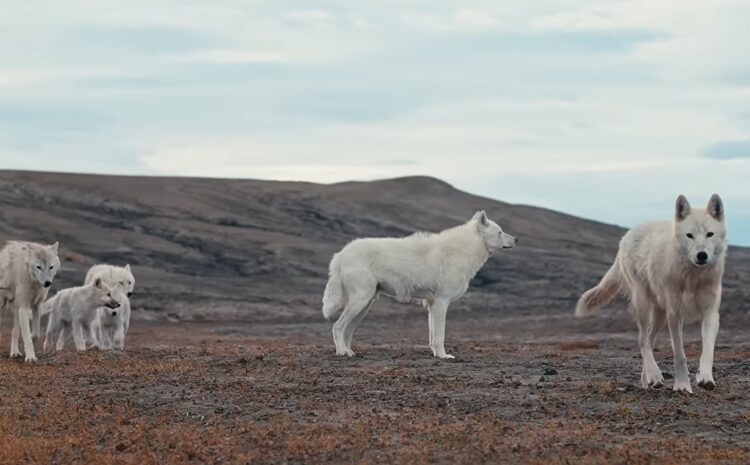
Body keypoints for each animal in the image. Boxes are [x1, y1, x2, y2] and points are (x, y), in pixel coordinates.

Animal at [322, 211, 516, 358]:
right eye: (500, 232)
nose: (516, 239)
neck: (464, 249)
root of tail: (341, 254)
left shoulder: (432, 305)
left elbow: (432, 336)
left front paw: (436, 354)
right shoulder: (441, 303)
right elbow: (440, 335)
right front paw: (444, 356)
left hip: (365, 305)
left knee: (348, 330)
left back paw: (348, 351)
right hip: (360, 302)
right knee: (337, 326)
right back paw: (341, 352)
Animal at [576, 194, 727, 393]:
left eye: (710, 234)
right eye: (689, 235)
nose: (701, 255)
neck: (693, 278)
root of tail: (626, 236)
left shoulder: (710, 314)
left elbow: (707, 351)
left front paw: (706, 378)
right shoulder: (675, 315)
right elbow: (680, 355)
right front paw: (682, 385)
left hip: (659, 315)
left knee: (649, 340)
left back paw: (647, 379)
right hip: (643, 305)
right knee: (642, 340)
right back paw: (654, 376)